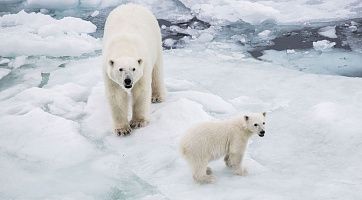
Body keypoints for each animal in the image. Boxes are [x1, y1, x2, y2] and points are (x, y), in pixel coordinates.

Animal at [102, 4, 166, 136]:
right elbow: (117, 95)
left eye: (134, 69)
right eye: (120, 69)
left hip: (156, 39)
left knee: (157, 71)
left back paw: (157, 96)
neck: (124, 47)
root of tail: (132, 4)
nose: (128, 81)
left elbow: (140, 91)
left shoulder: (144, 65)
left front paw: (138, 122)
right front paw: (122, 129)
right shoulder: (107, 71)